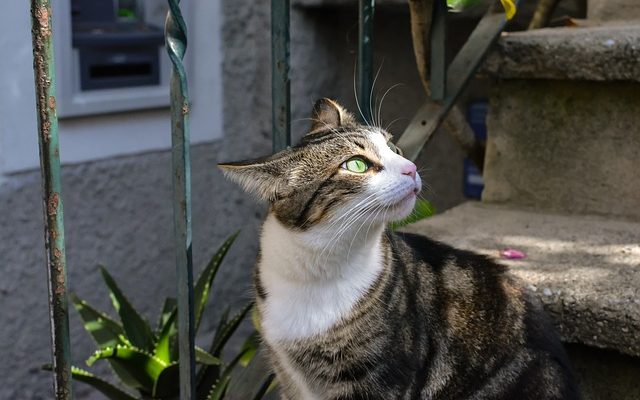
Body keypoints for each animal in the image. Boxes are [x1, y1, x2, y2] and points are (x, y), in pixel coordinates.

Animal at [220, 97, 580, 400]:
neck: (319, 266)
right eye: (356, 165)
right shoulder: (288, 374)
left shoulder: (381, 377)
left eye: (393, 146)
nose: (411, 168)